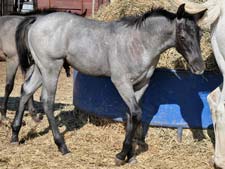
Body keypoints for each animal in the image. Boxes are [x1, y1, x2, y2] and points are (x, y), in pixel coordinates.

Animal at [11, 4, 206, 165]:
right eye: (182, 36)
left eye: (200, 34)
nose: (199, 68)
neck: (139, 43)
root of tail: (38, 20)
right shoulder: (121, 82)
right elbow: (136, 113)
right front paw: (121, 155)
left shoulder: (141, 85)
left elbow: (131, 115)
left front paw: (130, 156)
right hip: (51, 67)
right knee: (47, 102)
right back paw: (62, 146)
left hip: (40, 68)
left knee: (26, 91)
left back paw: (14, 135)